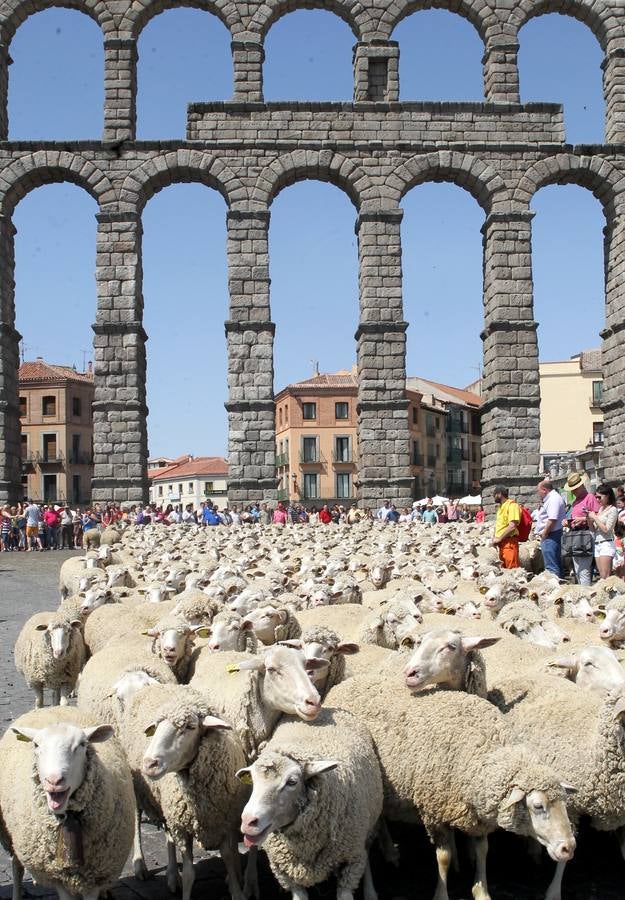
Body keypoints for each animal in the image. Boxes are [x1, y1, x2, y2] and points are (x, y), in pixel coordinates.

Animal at [119, 684, 249, 900]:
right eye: (156, 727)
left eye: (189, 727)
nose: (149, 763)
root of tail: (153, 686)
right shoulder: (183, 828)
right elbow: (189, 873)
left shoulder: (224, 821)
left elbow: (229, 858)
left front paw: (237, 891)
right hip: (138, 787)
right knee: (137, 820)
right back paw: (140, 865)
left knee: (168, 835)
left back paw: (172, 876)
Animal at [326, 676, 576, 900]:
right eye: (538, 806)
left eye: (564, 804)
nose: (569, 848)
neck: (482, 753)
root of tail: (345, 683)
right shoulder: (433, 812)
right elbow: (443, 857)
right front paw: (442, 894)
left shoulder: (478, 816)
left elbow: (483, 851)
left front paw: (482, 891)